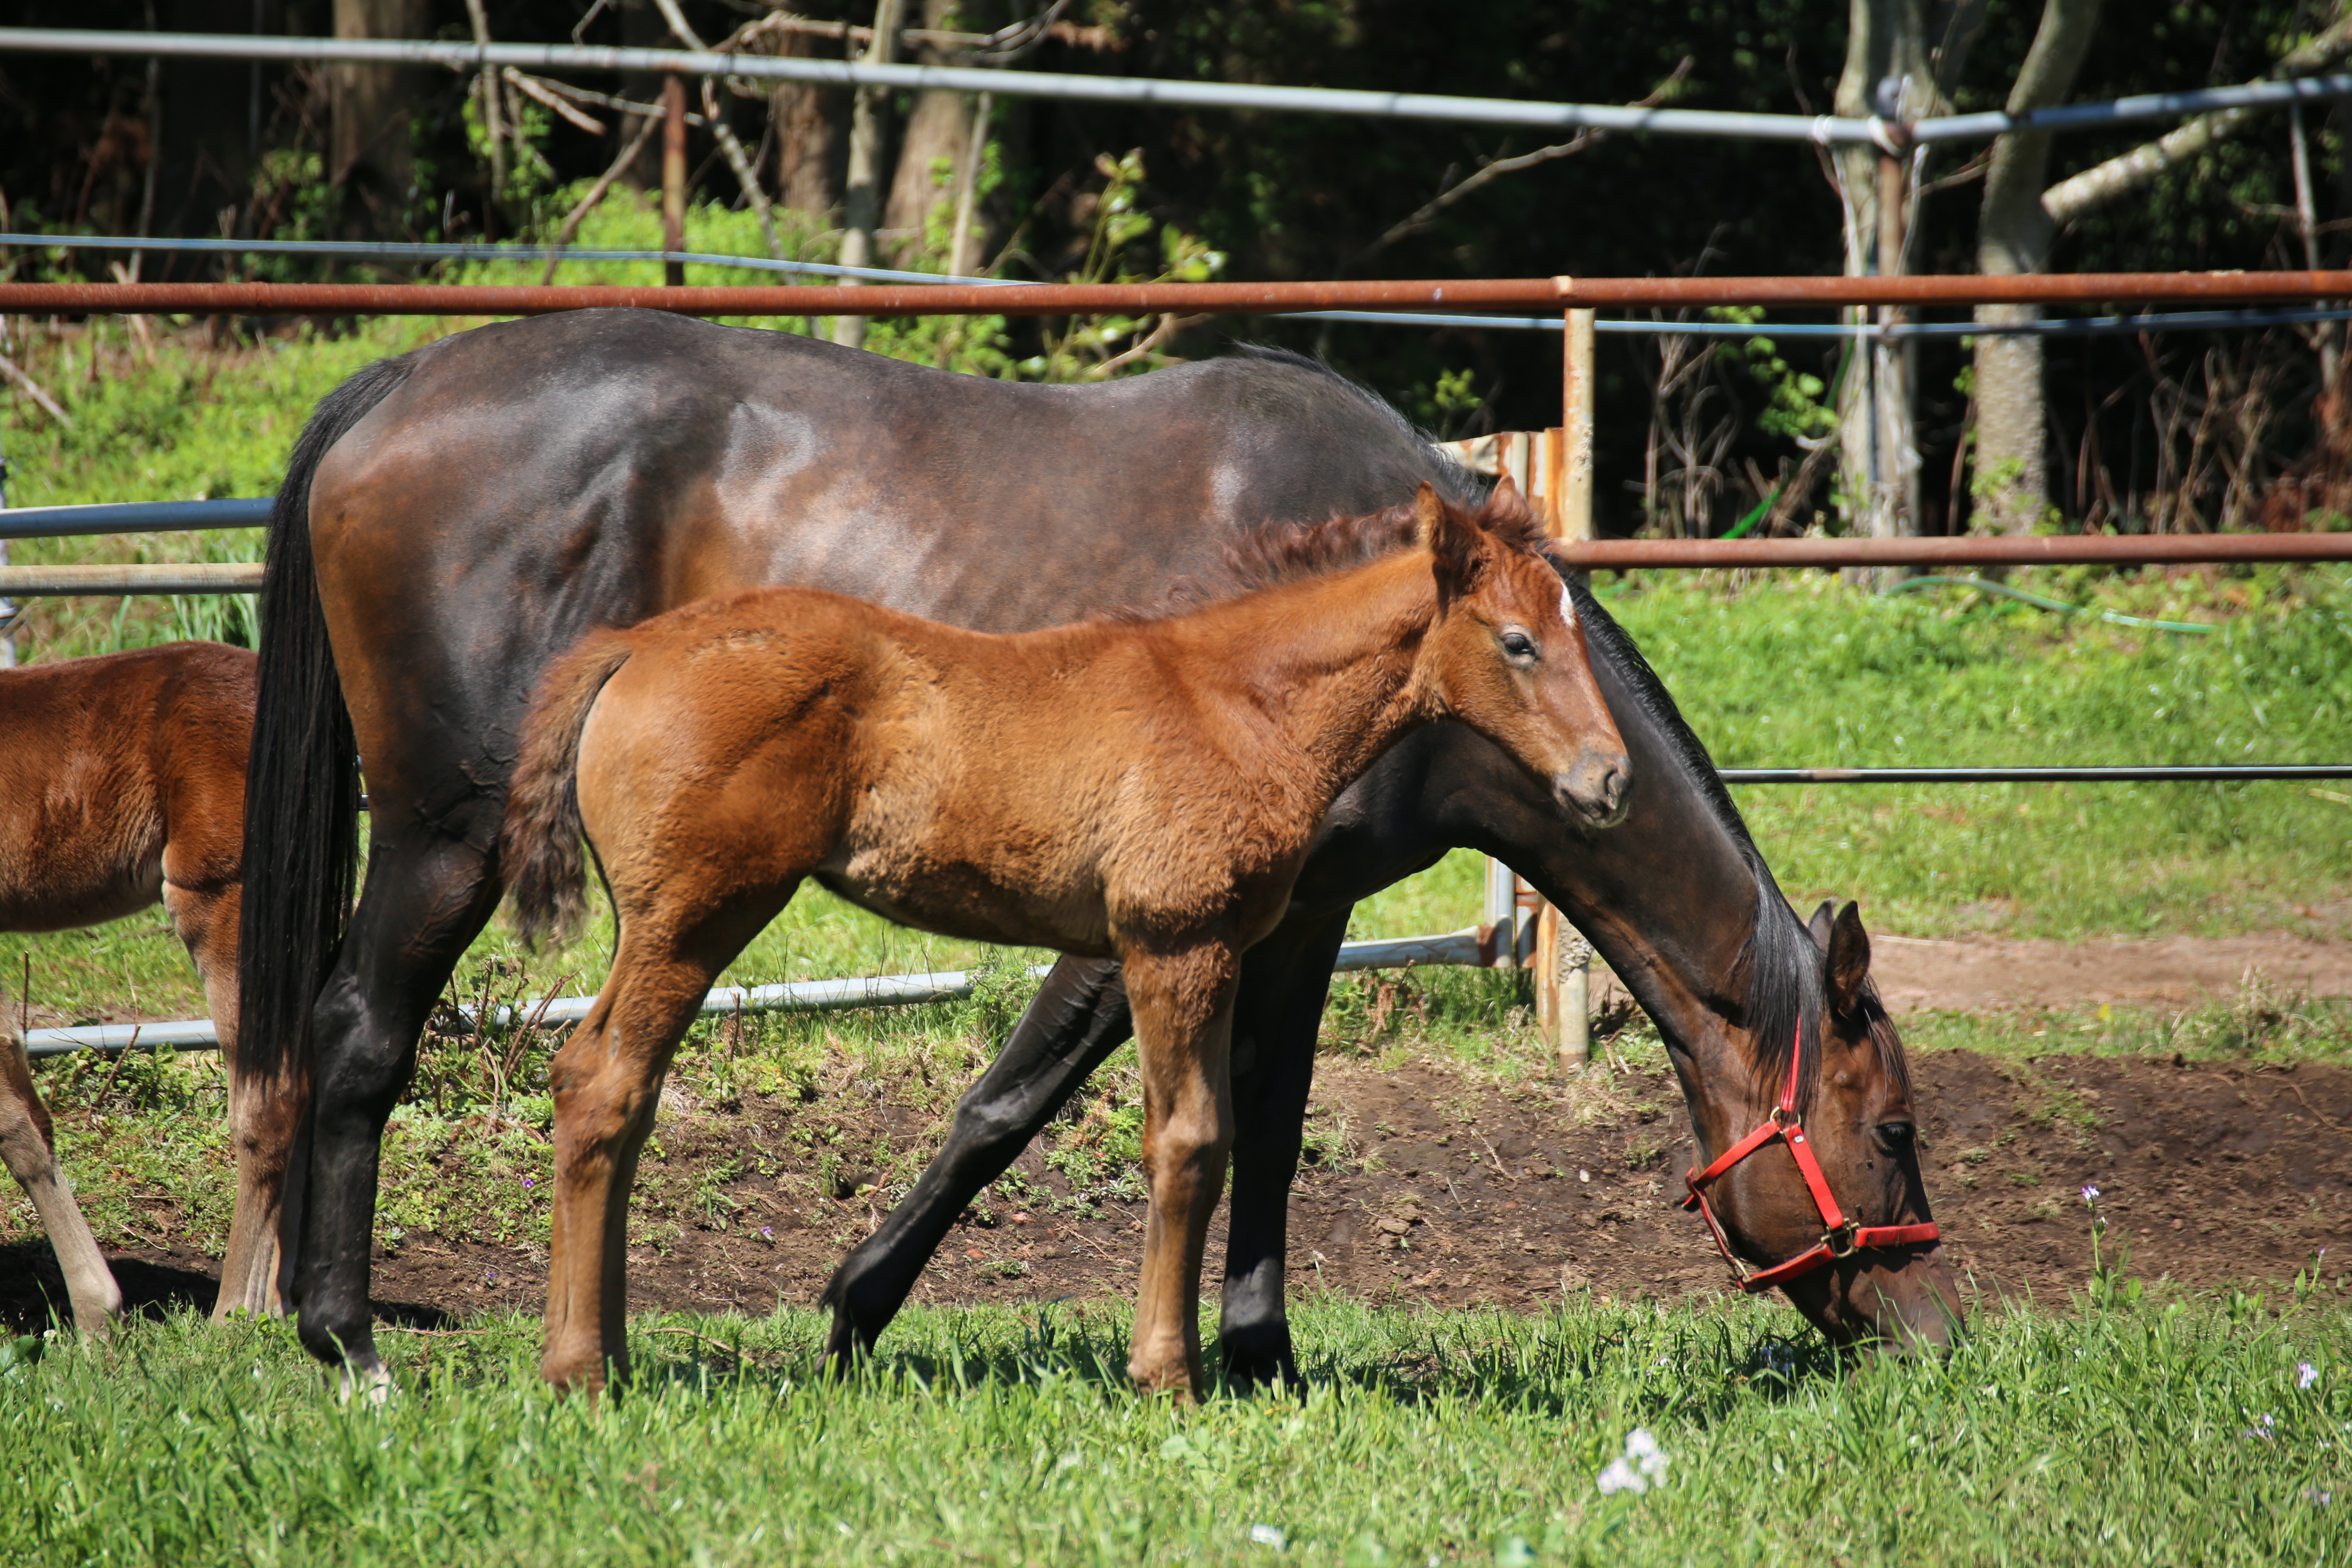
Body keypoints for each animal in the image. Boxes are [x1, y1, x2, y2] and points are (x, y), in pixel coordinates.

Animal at [506, 486, 1627, 1401]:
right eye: (1519, 641)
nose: (1609, 779)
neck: (1239, 701)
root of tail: (632, 647)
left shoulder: (1219, 946)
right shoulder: (1177, 941)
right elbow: (1191, 1141)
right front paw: (1167, 1375)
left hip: (671, 925)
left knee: (615, 1089)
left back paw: (607, 1354)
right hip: (694, 917)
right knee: (603, 1082)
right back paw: (579, 1372)